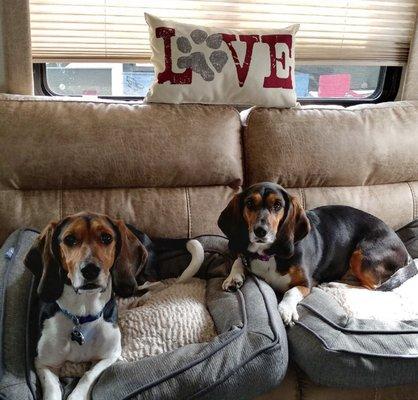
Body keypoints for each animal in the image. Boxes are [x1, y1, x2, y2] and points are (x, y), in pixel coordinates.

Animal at [24, 211, 204, 398]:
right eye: (70, 239)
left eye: (106, 238)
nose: (90, 270)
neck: (83, 313)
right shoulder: (43, 362)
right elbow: (52, 390)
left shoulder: (110, 355)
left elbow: (88, 375)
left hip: (130, 281)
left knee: (157, 284)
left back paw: (140, 300)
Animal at [219, 183, 414, 326]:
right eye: (250, 203)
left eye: (277, 205)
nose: (260, 231)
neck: (270, 254)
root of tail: (405, 251)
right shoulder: (247, 255)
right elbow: (238, 260)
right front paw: (233, 278)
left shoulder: (306, 283)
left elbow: (290, 292)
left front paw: (286, 310)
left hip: (362, 255)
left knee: (373, 287)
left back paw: (336, 284)